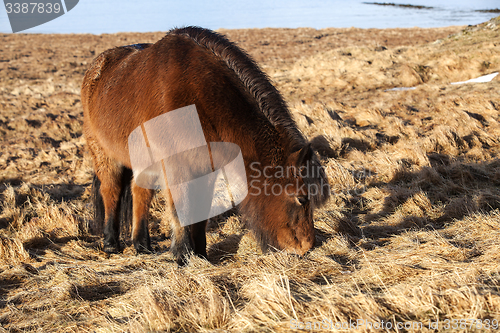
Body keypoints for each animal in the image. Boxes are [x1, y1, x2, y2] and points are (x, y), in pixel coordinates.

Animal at [82, 27, 330, 264]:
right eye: (301, 198)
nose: (306, 247)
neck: (200, 96)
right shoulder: (176, 167)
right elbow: (181, 208)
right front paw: (182, 255)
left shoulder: (206, 166)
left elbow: (202, 208)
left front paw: (200, 253)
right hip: (104, 155)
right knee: (111, 191)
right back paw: (111, 243)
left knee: (140, 192)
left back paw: (142, 245)